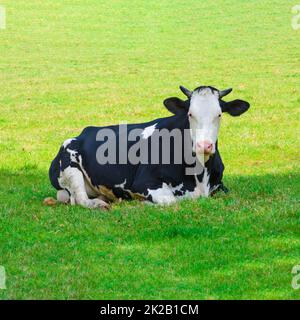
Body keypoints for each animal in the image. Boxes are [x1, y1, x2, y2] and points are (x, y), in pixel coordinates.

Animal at [49, 85, 250, 209]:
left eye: (219, 115)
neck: (200, 176)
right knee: (81, 199)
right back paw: (99, 205)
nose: (204, 145)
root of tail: (85, 131)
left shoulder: (220, 186)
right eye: (190, 114)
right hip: (69, 165)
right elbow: (172, 201)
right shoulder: (144, 182)